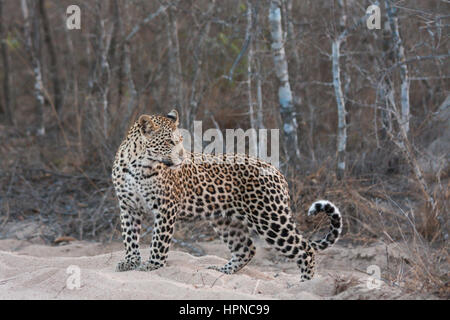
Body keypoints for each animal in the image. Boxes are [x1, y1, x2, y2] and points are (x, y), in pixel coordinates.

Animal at [111, 109, 342, 280]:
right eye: (169, 142)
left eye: (181, 140)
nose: (183, 157)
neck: (138, 165)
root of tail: (275, 170)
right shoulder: (128, 206)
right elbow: (130, 237)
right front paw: (130, 261)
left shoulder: (165, 207)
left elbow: (159, 240)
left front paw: (152, 265)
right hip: (226, 220)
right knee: (246, 249)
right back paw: (221, 271)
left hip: (270, 218)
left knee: (305, 249)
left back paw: (304, 284)